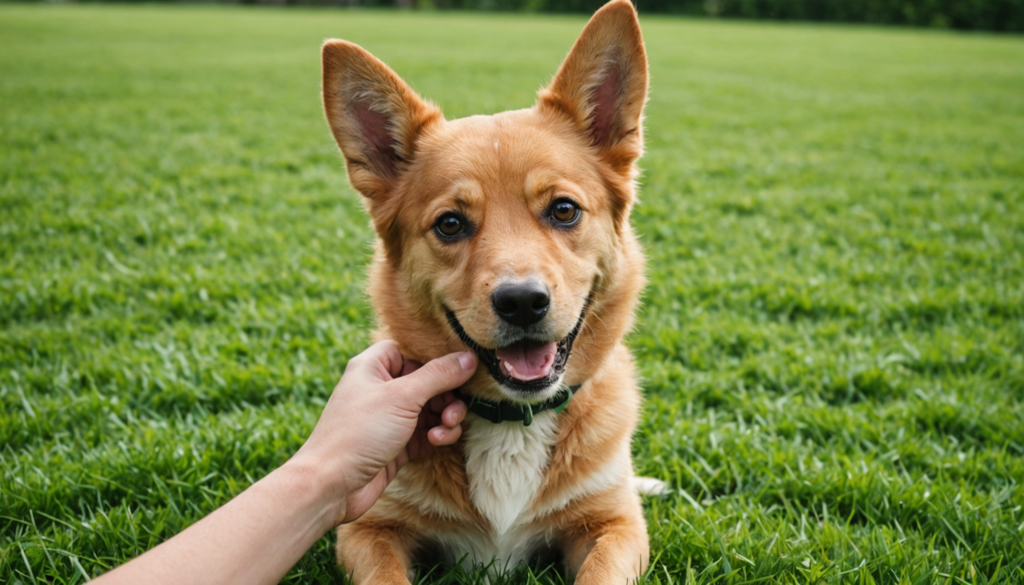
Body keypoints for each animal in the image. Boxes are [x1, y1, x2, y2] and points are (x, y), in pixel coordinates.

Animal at [321, 2, 655, 581]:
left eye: (563, 209)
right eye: (451, 224)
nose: (522, 302)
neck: (513, 422)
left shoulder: (616, 526)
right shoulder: (369, 529)